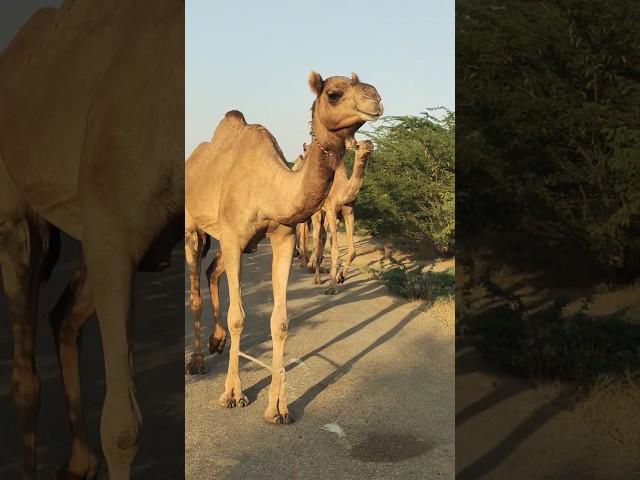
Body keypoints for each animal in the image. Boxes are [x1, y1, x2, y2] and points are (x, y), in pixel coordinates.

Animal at [0, 1, 185, 478]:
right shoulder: (112, 230)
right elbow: (122, 428)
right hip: (18, 214)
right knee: (25, 376)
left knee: (63, 315)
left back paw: (78, 464)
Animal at [304, 141, 376, 294]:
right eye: (358, 146)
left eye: (370, 142)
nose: (369, 146)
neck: (343, 192)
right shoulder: (331, 210)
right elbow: (335, 250)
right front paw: (332, 287)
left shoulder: (348, 213)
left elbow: (352, 252)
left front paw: (340, 277)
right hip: (318, 212)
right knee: (317, 236)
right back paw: (316, 279)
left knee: (324, 236)